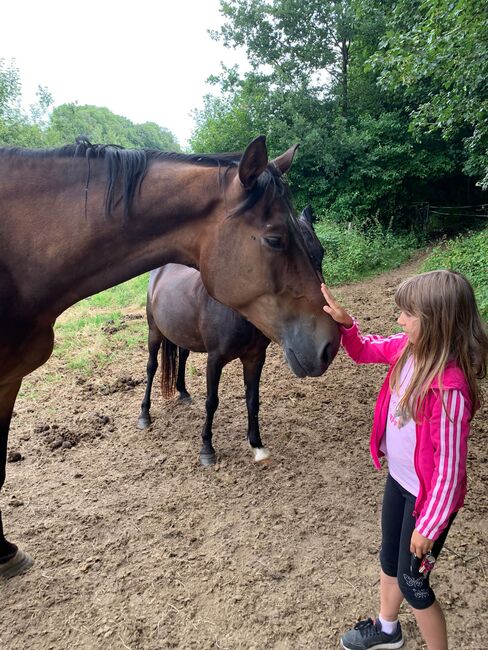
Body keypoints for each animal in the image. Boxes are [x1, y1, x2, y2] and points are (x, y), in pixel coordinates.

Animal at [0, 134, 340, 576]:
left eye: (319, 252)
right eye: (275, 240)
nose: (329, 344)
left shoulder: (254, 359)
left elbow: (252, 401)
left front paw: (257, 444)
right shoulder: (216, 359)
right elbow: (214, 401)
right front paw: (207, 450)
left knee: (179, 364)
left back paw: (181, 394)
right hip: (152, 335)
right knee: (149, 371)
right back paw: (146, 415)